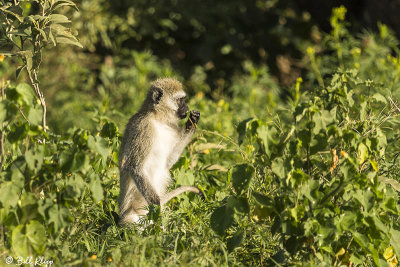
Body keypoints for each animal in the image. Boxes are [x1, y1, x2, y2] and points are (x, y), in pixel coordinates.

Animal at [118, 78, 200, 226]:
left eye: (184, 99)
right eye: (180, 100)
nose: (186, 105)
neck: (158, 118)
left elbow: (167, 163)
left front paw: (191, 123)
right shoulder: (143, 129)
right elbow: (134, 166)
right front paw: (156, 204)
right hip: (132, 218)